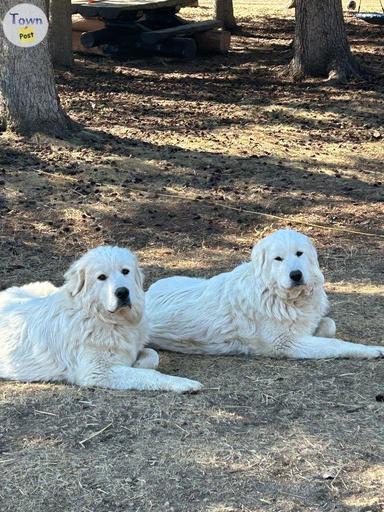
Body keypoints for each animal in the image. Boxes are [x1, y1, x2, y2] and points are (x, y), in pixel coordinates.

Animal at [0, 246, 202, 394]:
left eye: (125, 271)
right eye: (101, 277)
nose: (122, 292)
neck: (103, 319)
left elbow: (153, 355)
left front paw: (139, 363)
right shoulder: (97, 372)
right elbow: (151, 375)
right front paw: (183, 383)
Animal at [147, 230, 384, 358]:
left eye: (299, 254)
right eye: (278, 259)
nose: (296, 275)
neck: (279, 295)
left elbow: (329, 325)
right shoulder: (287, 344)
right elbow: (337, 344)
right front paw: (372, 350)